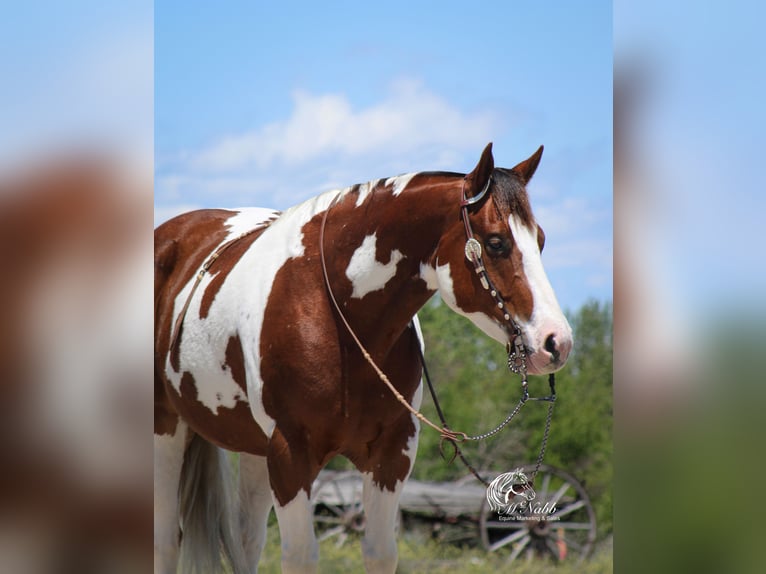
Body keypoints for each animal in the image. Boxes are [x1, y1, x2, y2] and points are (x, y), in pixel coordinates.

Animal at [156, 142, 572, 572]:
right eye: (495, 242)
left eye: (540, 240)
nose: (555, 342)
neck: (334, 311)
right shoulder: (291, 456)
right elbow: (301, 555)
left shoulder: (392, 455)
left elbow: (379, 551)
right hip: (167, 431)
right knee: (167, 541)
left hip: (255, 450)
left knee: (246, 541)